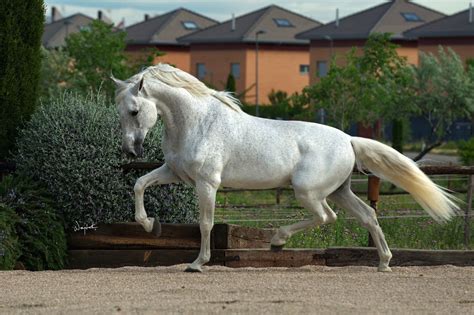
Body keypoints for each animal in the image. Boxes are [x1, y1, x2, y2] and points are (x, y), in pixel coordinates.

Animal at [112, 63, 460, 272]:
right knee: (367, 216)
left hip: (308, 191)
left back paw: (278, 239)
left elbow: (205, 223)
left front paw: (198, 263)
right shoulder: (173, 173)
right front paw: (150, 225)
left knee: (326, 217)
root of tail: (348, 139)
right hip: (339, 191)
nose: (130, 150)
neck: (198, 123)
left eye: (134, 111)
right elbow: (140, 185)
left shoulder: (207, 183)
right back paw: (384, 263)